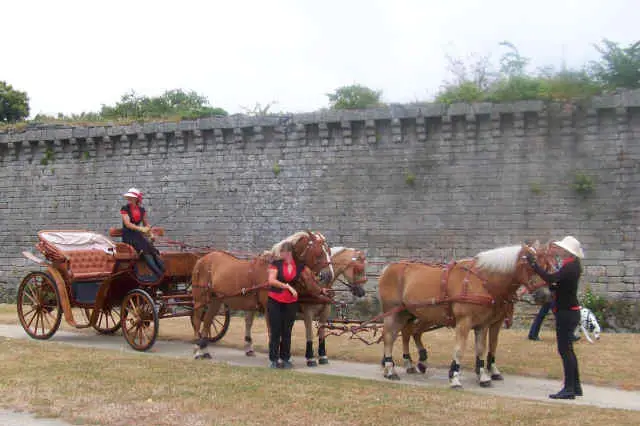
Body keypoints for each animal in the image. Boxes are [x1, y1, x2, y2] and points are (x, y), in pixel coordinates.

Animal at [191, 230, 332, 359]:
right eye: (319, 252)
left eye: (329, 251)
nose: (328, 275)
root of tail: (202, 259)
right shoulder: (269, 309)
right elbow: (273, 332)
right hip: (200, 299)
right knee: (198, 320)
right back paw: (197, 350)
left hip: (216, 300)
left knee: (207, 321)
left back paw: (205, 351)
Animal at [378, 242, 550, 388]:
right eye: (533, 265)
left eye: (547, 266)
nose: (545, 295)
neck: (482, 281)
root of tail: (388, 268)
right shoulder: (464, 322)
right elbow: (460, 349)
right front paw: (454, 376)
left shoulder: (484, 324)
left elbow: (482, 348)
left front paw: (483, 375)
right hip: (394, 312)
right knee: (390, 336)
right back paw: (390, 368)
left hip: (409, 313)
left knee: (404, 333)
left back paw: (402, 364)